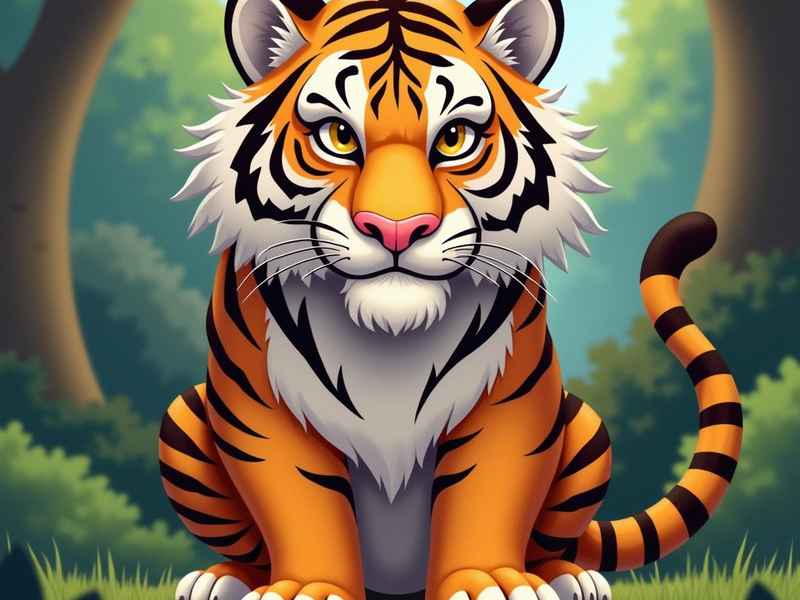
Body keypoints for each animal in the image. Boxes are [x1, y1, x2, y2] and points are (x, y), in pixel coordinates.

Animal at [160, 1, 743, 600]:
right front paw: (305, 588)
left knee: (550, 544)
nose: (396, 229)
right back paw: (220, 580)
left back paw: (566, 579)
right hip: (185, 414)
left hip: (582, 423)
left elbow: (489, 488)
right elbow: (300, 498)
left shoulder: (514, 402)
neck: (388, 339)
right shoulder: (261, 409)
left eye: (455, 137)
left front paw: (494, 584)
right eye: (338, 136)